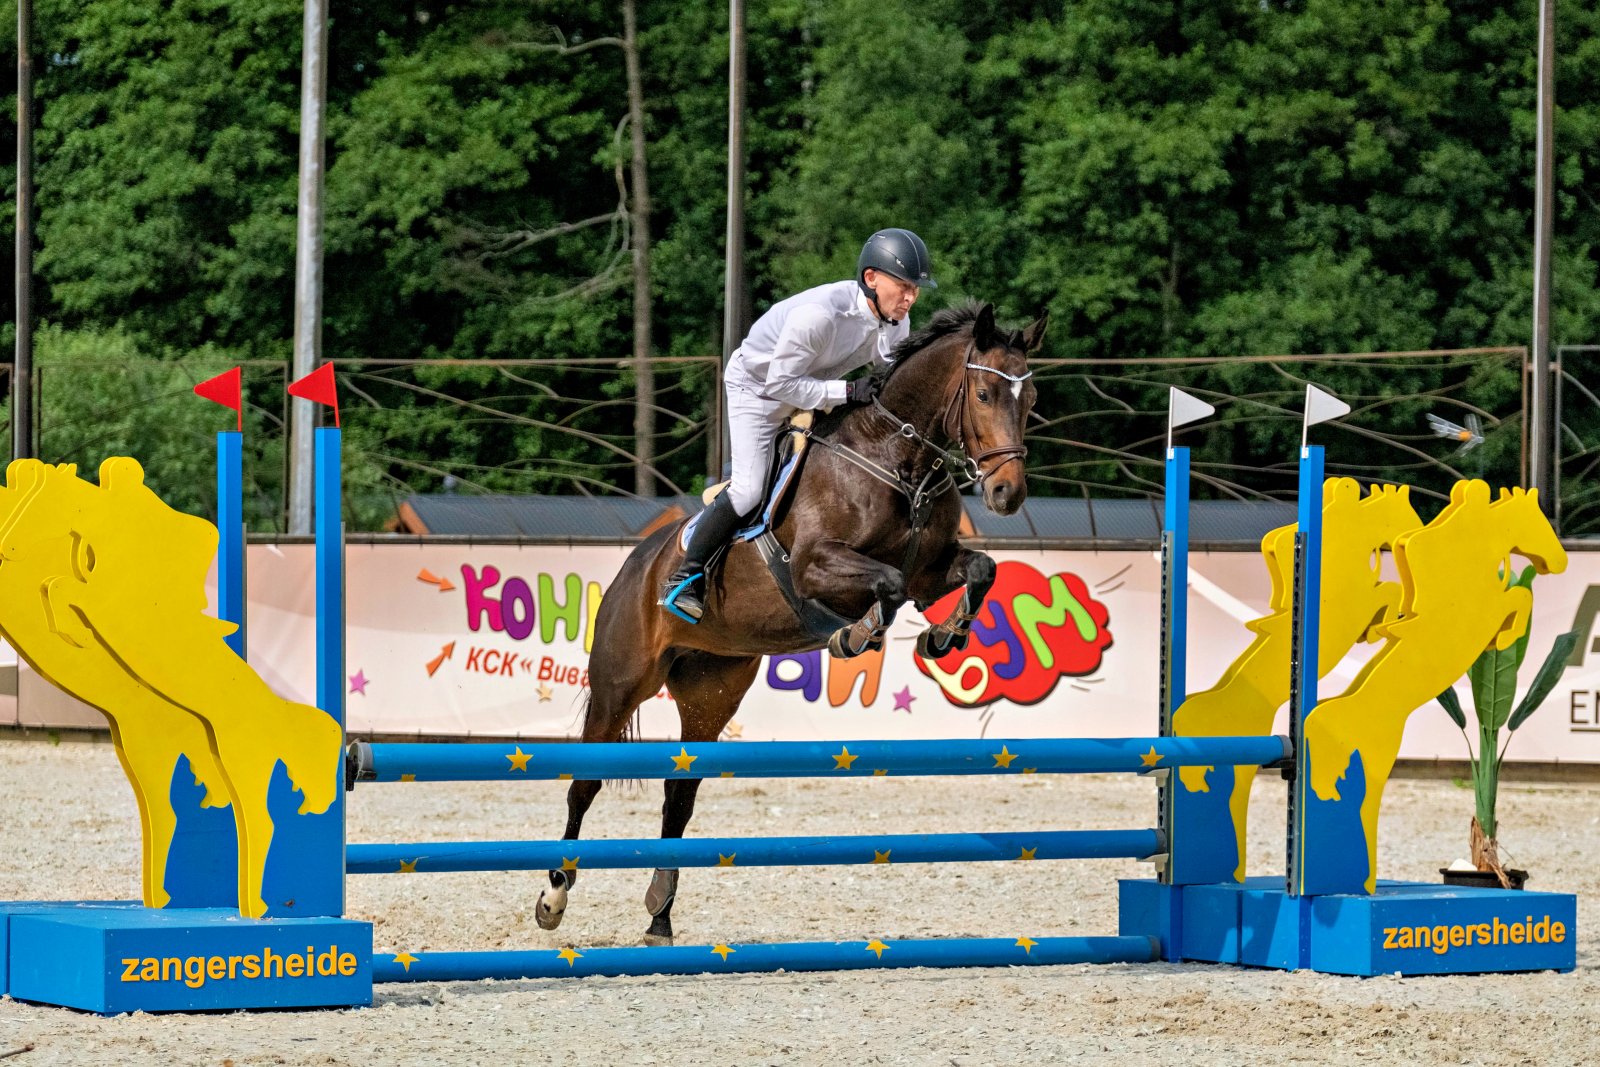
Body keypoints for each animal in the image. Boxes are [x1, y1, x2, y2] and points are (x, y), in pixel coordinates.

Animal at [531, 300, 1043, 940]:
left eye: (1030, 397)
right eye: (982, 393)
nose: (1007, 493)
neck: (896, 461)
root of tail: (636, 565)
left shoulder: (932, 571)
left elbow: (980, 569)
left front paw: (942, 636)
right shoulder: (814, 567)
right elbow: (887, 583)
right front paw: (857, 635)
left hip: (712, 691)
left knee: (680, 793)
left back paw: (661, 916)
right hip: (620, 683)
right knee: (585, 783)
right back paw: (554, 896)